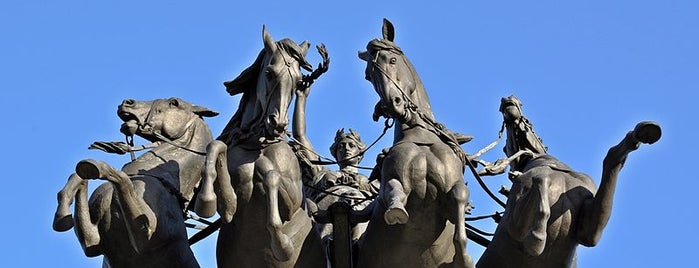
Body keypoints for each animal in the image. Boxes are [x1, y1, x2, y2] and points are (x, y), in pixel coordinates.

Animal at [53, 97, 216, 266]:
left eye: (174, 102)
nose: (127, 102)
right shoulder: (93, 242)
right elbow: (79, 177)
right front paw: (62, 216)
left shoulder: (148, 233)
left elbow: (121, 179)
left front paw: (99, 168)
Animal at [194, 25, 328, 268]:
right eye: (269, 73)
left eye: (297, 80)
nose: (278, 124)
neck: (256, 144)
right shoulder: (230, 207)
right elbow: (216, 148)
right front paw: (205, 200)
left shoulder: (295, 200)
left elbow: (271, 175)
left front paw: (282, 245)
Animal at [356, 19, 476, 268]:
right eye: (368, 75)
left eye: (392, 60)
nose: (393, 103)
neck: (420, 137)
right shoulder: (394, 178)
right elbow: (393, 189)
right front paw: (396, 211)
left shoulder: (452, 187)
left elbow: (459, 196)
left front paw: (464, 257)